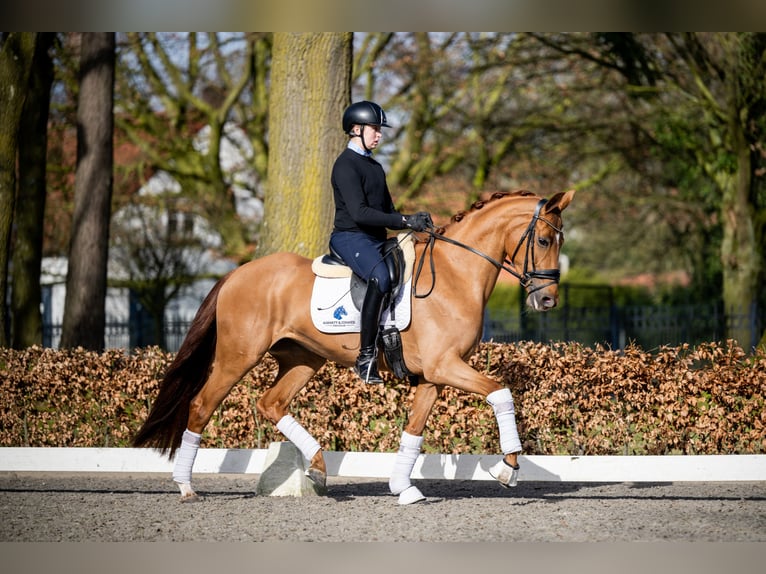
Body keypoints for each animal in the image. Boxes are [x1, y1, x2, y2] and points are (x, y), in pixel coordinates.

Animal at [134, 189, 576, 504]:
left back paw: (317, 467)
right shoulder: (445, 366)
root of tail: (236, 274)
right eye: (542, 239)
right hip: (237, 356)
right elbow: (501, 392)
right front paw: (508, 467)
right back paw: (186, 487)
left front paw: (403, 488)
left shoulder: (432, 377)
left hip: (303, 359)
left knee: (271, 403)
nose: (548, 300)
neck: (455, 275)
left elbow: (413, 431)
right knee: (201, 406)